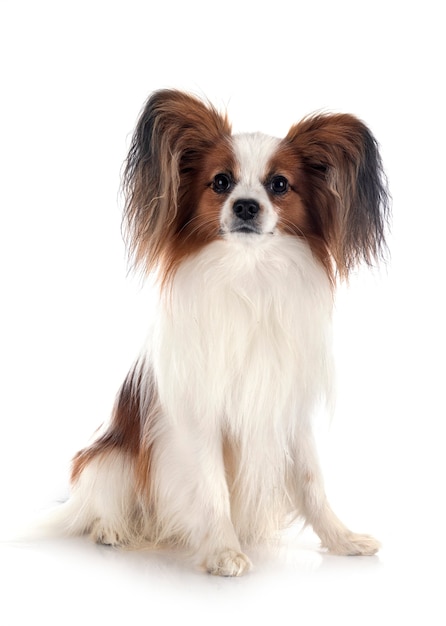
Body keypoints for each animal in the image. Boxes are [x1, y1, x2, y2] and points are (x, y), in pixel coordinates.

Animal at [45, 89, 388, 576]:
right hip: (109, 459)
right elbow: (211, 489)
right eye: (221, 182)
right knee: (100, 504)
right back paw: (111, 530)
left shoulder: (289, 411)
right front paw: (224, 551)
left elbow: (311, 482)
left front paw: (342, 540)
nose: (246, 206)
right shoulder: (198, 414)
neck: (249, 275)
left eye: (279, 185)